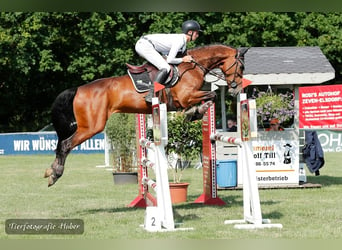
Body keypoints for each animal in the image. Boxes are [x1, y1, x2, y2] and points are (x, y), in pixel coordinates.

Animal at [44, 44, 248, 187]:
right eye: (241, 67)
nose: (236, 89)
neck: (192, 66)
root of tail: (78, 89)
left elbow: (211, 96)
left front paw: (195, 112)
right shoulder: (186, 97)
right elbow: (212, 95)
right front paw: (194, 112)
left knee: (62, 144)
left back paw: (51, 172)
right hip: (92, 126)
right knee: (65, 144)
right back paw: (54, 174)